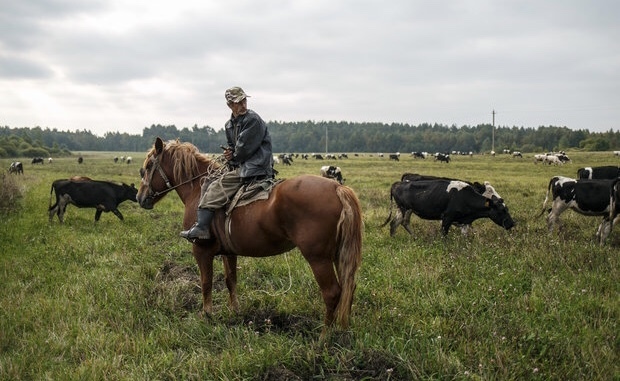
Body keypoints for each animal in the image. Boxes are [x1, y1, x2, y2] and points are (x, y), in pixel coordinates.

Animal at [138, 137, 360, 330]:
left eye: (148, 167)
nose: (139, 197)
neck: (198, 189)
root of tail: (338, 188)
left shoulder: (201, 250)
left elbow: (206, 282)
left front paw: (207, 315)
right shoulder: (228, 252)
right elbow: (231, 280)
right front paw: (235, 311)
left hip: (318, 259)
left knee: (332, 293)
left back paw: (324, 338)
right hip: (338, 256)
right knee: (348, 288)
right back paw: (341, 330)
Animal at [382, 177, 512, 235]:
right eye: (502, 210)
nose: (512, 223)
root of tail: (397, 183)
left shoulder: (464, 221)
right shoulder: (447, 217)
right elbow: (444, 234)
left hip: (405, 210)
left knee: (398, 223)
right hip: (405, 209)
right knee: (398, 223)